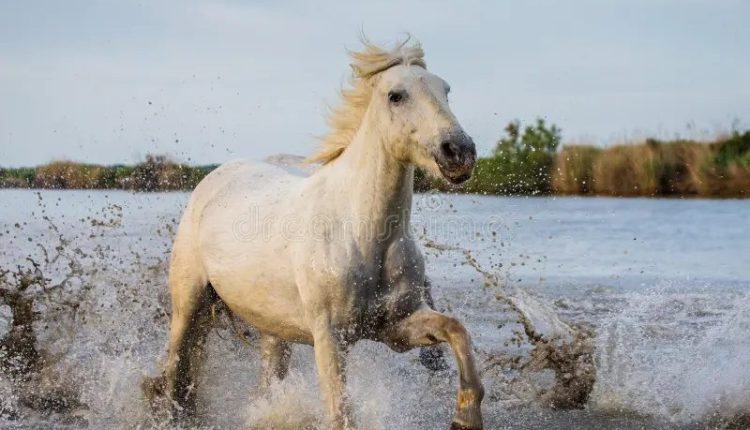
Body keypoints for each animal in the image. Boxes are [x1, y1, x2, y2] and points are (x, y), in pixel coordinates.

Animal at [147, 37, 484, 430]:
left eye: (445, 90)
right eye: (396, 96)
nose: (459, 152)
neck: (363, 236)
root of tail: (216, 176)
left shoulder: (395, 326)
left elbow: (456, 329)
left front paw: (465, 417)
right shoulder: (330, 338)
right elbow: (340, 414)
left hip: (273, 331)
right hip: (188, 304)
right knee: (175, 372)